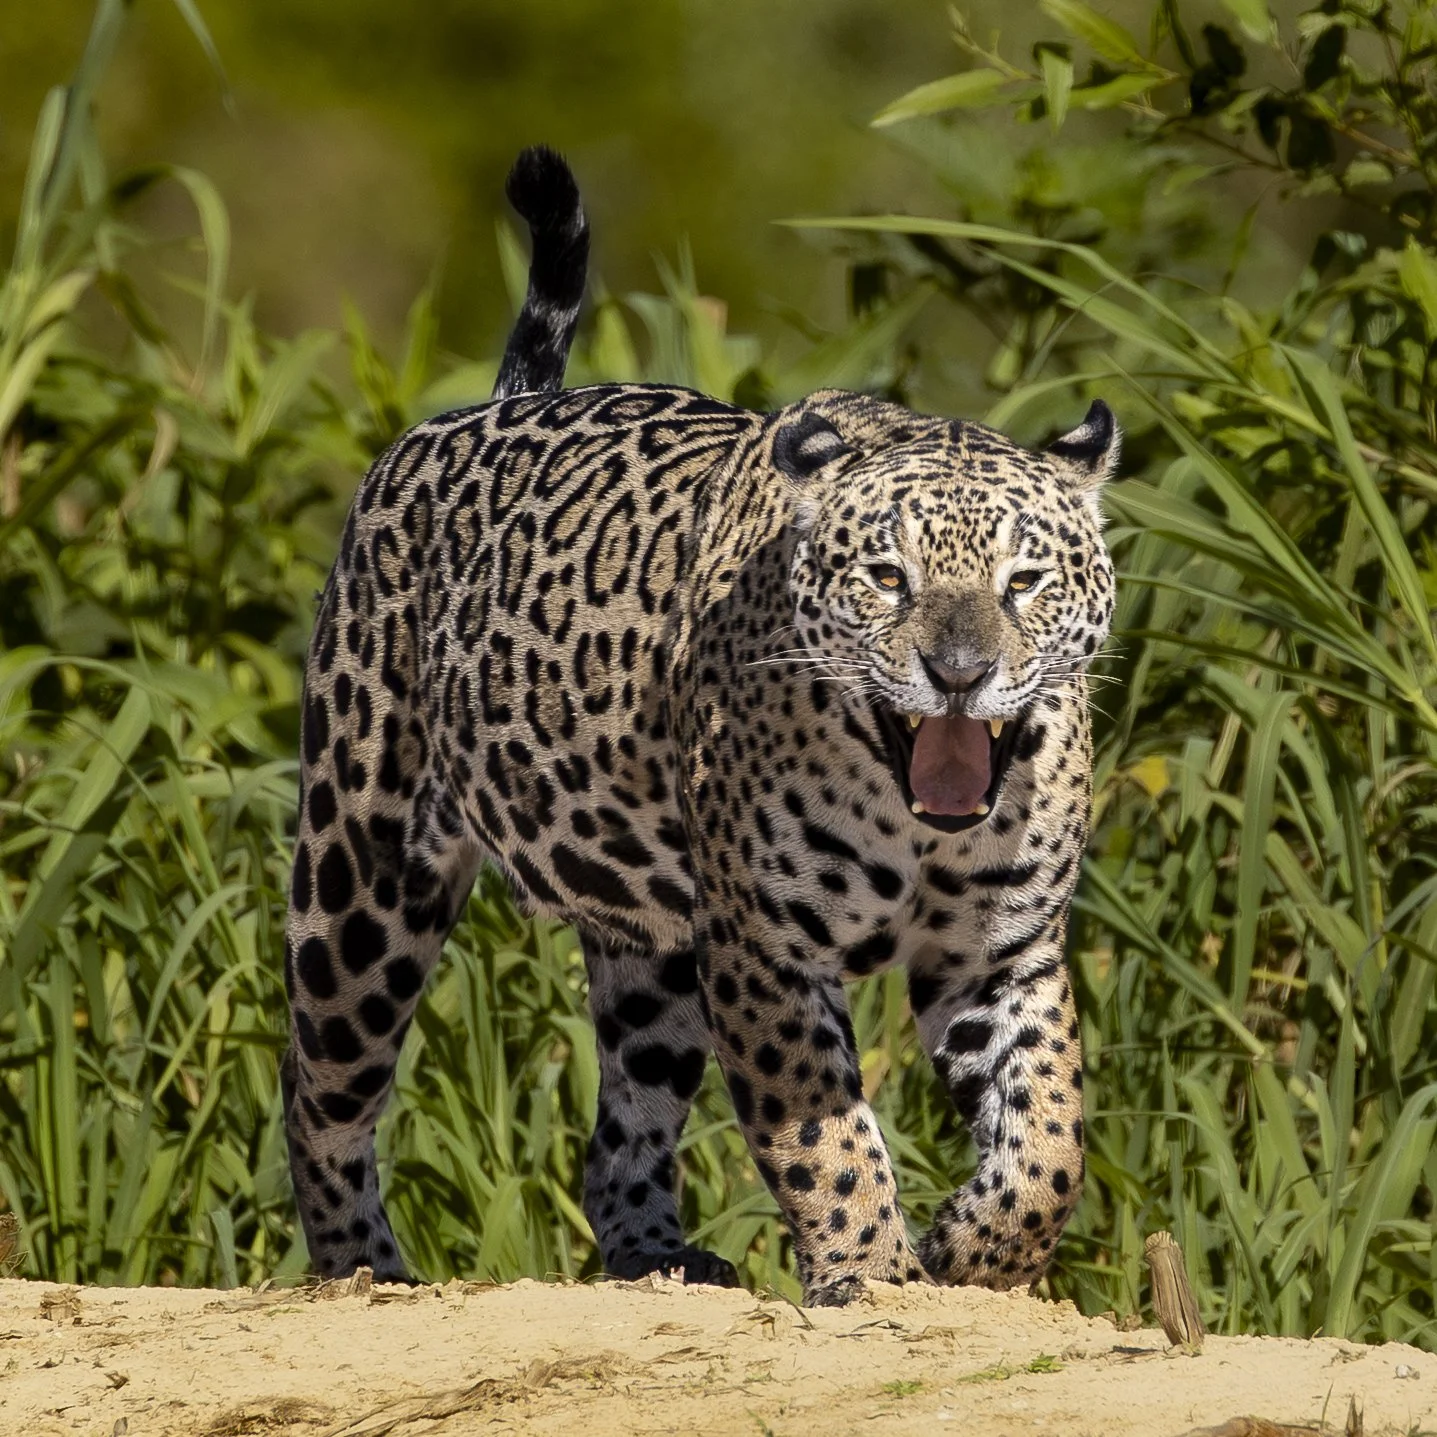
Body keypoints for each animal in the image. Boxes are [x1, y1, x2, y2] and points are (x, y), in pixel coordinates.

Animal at [280, 146, 1120, 1307]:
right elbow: (826, 1135)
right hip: (360, 876)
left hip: (653, 952)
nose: (959, 674)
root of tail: (470, 418)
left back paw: (659, 1258)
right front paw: (873, 1271)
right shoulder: (766, 947)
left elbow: (1050, 1135)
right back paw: (364, 1271)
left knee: (617, 1133)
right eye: (887, 578)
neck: (916, 823)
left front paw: (973, 1252)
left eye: (1024, 581)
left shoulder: (1000, 950)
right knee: (318, 1094)